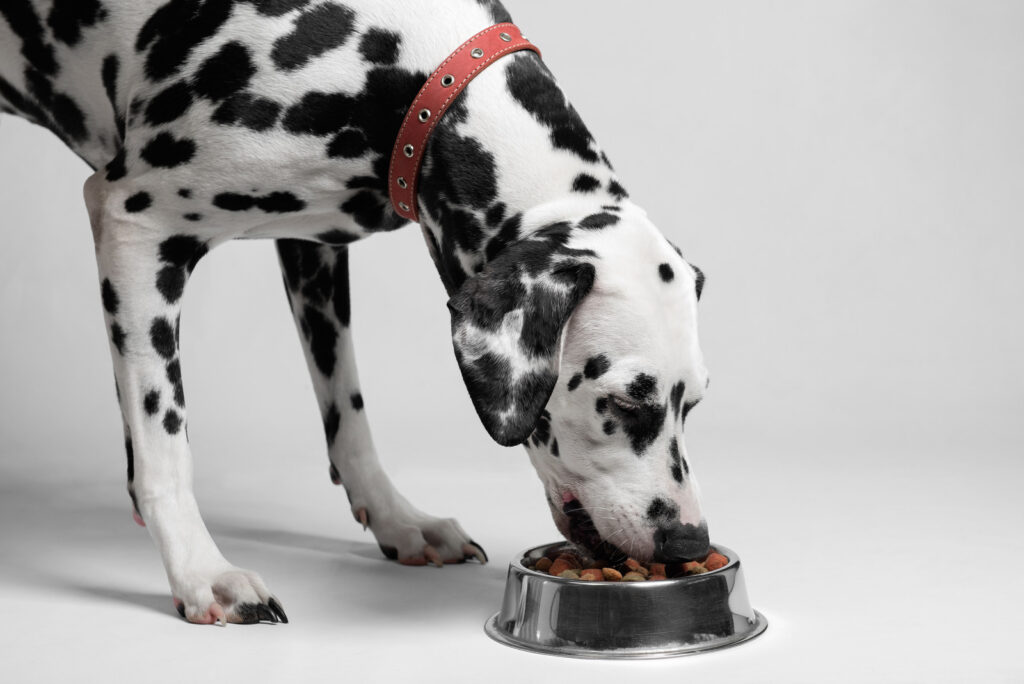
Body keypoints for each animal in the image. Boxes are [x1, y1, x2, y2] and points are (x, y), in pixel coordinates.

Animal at [0, 0, 712, 626]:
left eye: (695, 403)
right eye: (621, 402)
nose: (689, 544)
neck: (409, 67)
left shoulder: (312, 247)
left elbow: (348, 412)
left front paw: (398, 519)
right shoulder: (136, 226)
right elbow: (163, 440)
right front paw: (202, 572)